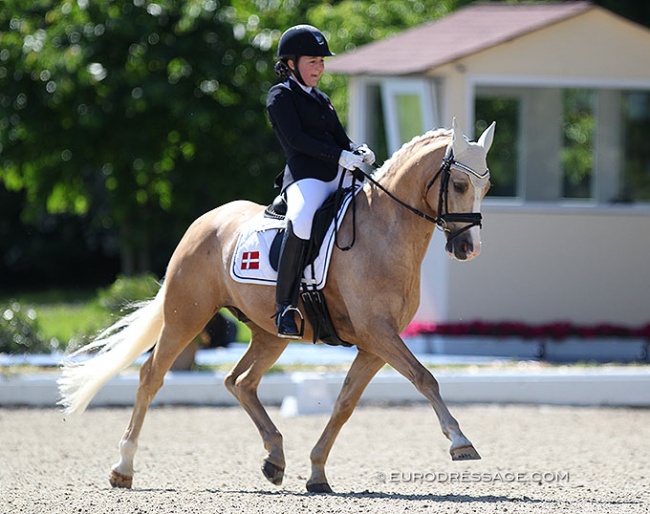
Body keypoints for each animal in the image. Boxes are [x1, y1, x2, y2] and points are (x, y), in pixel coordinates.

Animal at [59, 117, 492, 492]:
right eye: (457, 184)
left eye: (485, 188)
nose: (468, 249)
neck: (384, 233)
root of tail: (204, 221)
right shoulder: (377, 333)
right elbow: (425, 378)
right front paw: (461, 442)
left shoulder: (374, 344)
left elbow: (345, 403)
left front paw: (316, 473)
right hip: (187, 316)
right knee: (152, 376)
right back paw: (123, 468)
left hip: (272, 333)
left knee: (240, 382)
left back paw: (275, 458)